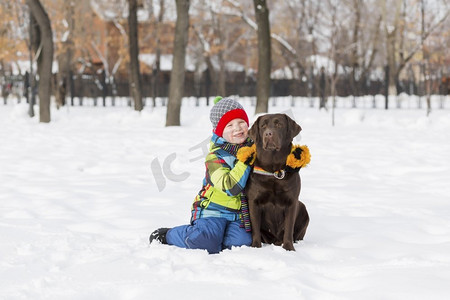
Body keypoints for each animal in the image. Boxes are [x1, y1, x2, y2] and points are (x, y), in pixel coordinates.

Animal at [244, 113, 312, 250]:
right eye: (263, 126)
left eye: (279, 124)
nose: (268, 134)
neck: (273, 171)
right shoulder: (253, 201)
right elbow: (255, 227)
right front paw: (255, 247)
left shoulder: (292, 202)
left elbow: (289, 228)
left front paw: (289, 248)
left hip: (302, 206)